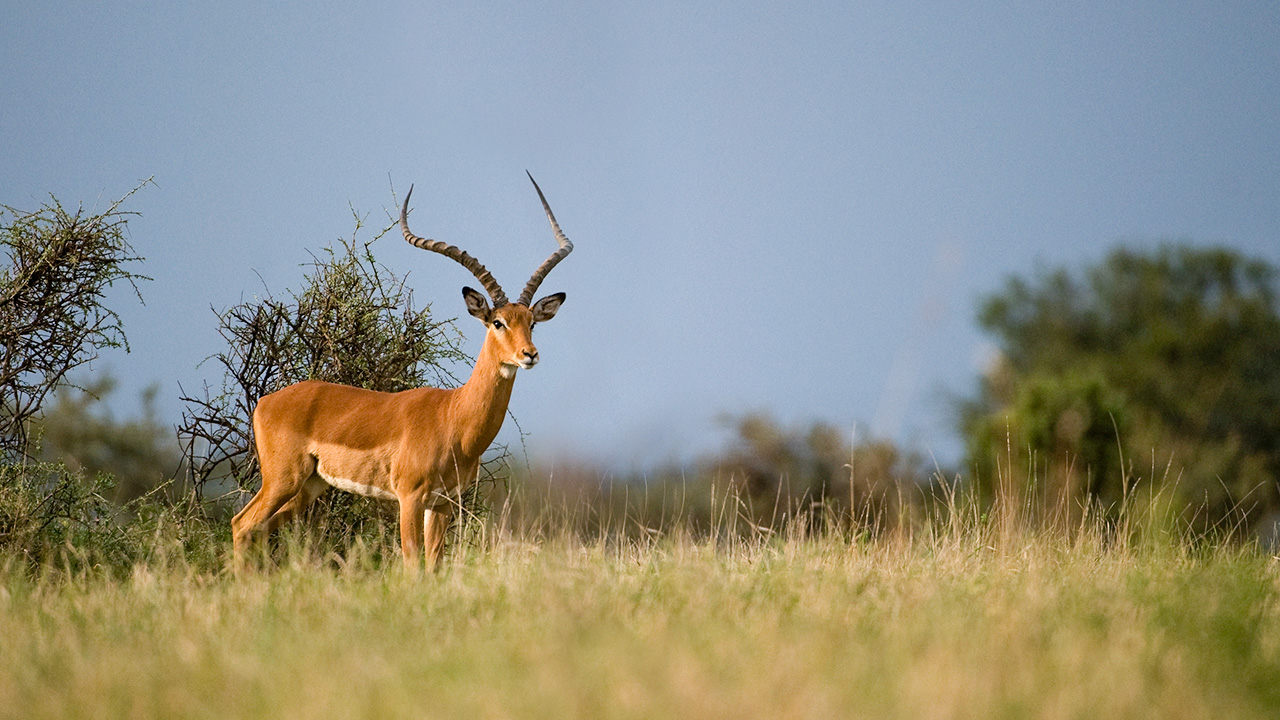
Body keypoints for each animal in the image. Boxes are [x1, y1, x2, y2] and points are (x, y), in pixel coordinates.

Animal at [231, 173, 573, 570]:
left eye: (531, 322)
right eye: (498, 322)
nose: (529, 354)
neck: (453, 416)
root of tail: (266, 401)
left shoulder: (442, 504)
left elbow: (435, 565)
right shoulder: (409, 498)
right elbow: (412, 565)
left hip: (310, 485)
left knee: (255, 530)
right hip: (283, 480)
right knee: (241, 524)